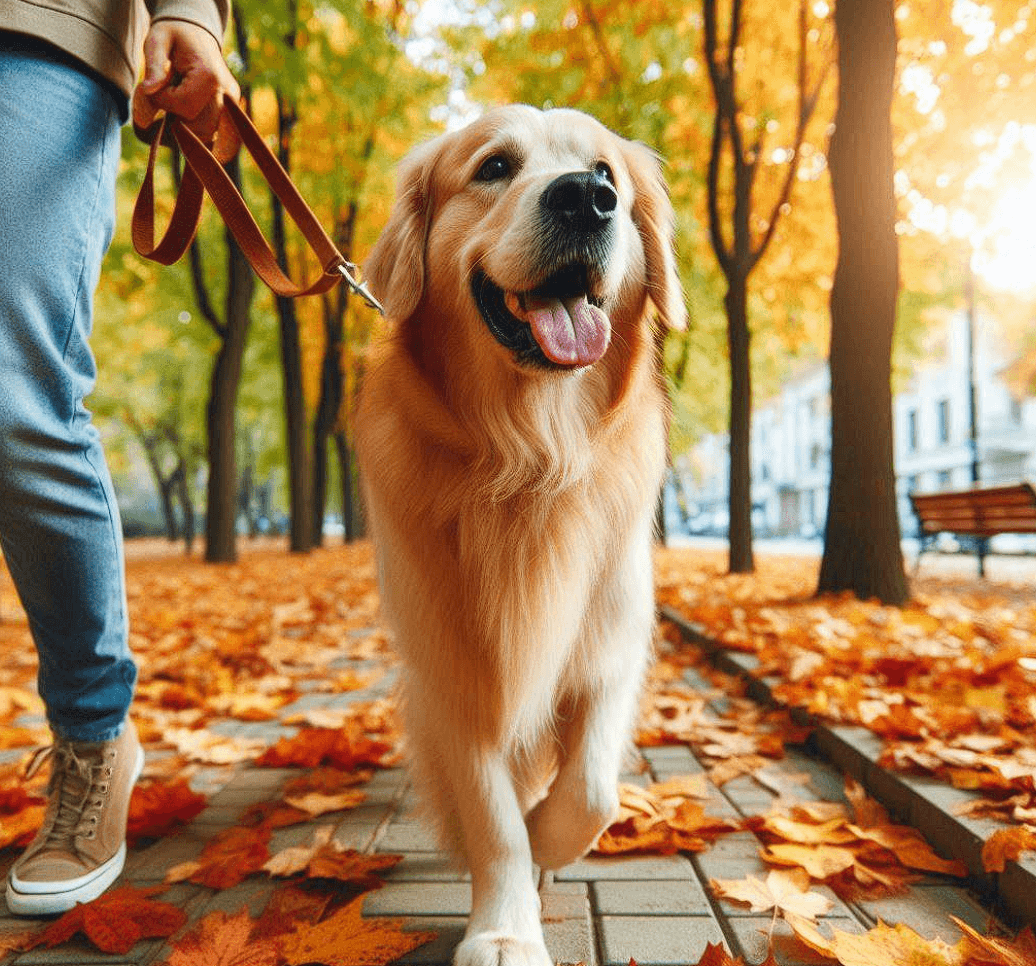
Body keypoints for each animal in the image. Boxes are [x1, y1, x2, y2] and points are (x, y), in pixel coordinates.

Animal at [356, 105, 687, 966]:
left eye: (607, 173)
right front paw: (505, 927)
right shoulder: (452, 668)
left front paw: (546, 834)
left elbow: (592, 790)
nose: (586, 199)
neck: (532, 458)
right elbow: (491, 816)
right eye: (495, 167)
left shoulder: (611, 641)